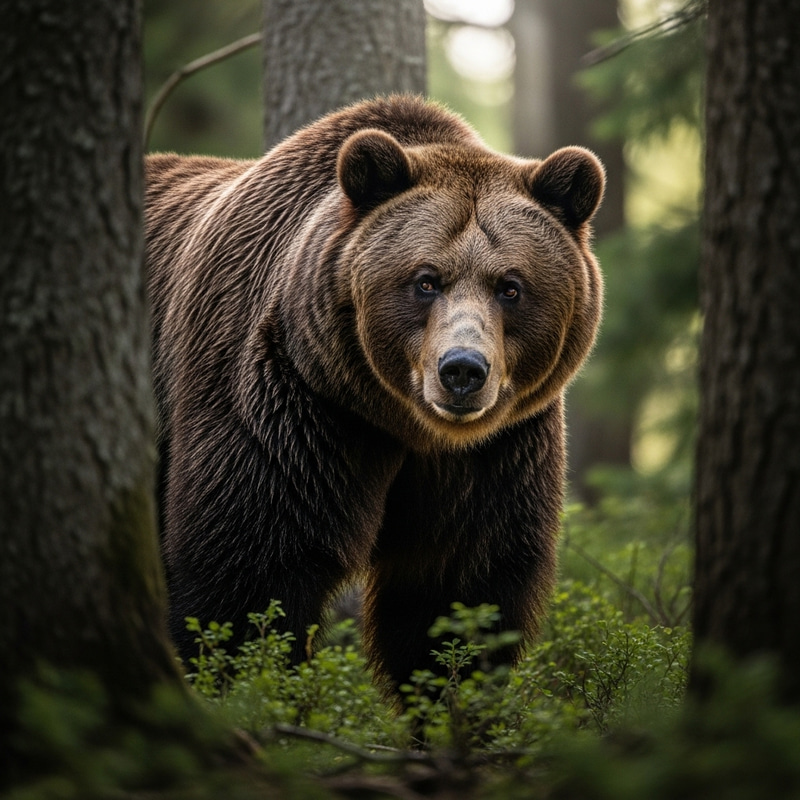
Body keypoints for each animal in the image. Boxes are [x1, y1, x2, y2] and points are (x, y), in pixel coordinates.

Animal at [144, 94, 604, 695]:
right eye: (425, 279)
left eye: (511, 286)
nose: (462, 370)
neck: (402, 424)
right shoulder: (291, 404)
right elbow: (248, 574)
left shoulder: (496, 454)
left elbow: (458, 589)